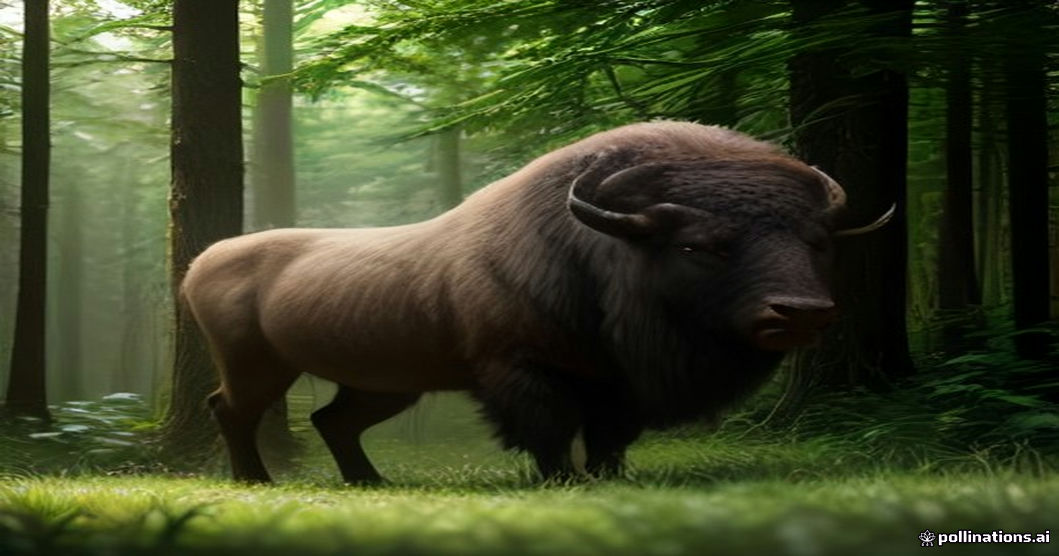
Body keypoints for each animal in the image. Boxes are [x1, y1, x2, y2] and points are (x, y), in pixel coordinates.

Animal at [182, 121, 889, 483]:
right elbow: (548, 426)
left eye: (818, 242)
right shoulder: (521, 369)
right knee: (231, 408)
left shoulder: (618, 383)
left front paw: (608, 477)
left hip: (384, 384)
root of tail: (203, 261)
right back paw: (255, 479)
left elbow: (609, 435)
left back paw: (370, 481)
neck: (599, 248)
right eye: (697, 245)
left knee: (335, 421)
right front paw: (561, 480)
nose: (798, 312)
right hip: (259, 366)